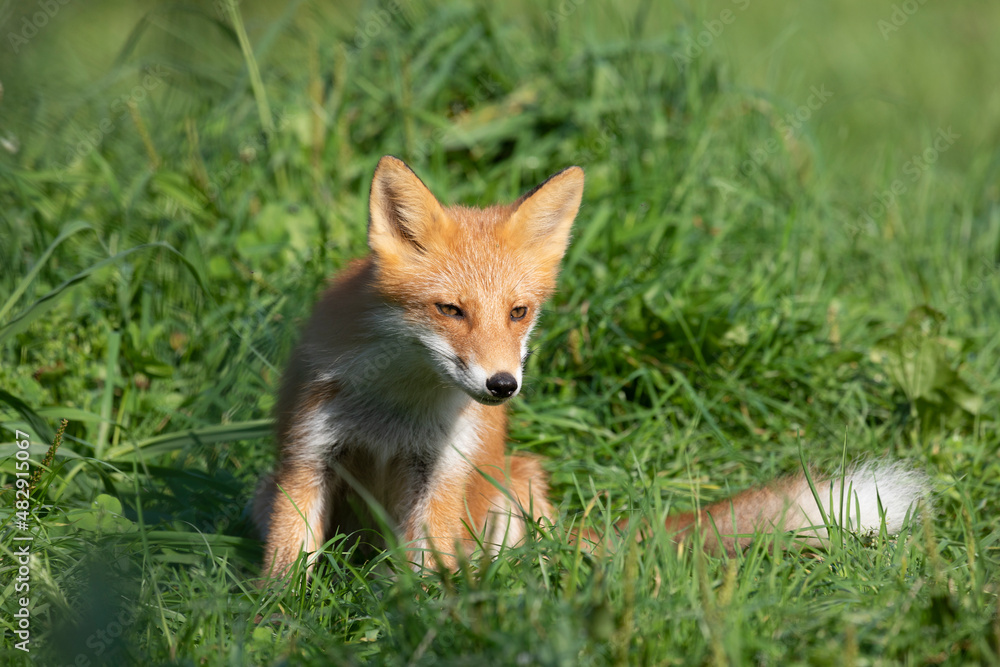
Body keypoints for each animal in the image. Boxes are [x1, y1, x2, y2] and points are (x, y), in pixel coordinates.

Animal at [252, 155, 930, 579]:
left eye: (519, 312)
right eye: (450, 310)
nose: (502, 385)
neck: (397, 400)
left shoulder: (440, 473)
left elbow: (422, 569)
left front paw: (415, 621)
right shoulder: (308, 457)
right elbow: (287, 569)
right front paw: (280, 624)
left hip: (516, 490)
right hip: (269, 488)